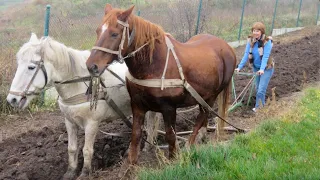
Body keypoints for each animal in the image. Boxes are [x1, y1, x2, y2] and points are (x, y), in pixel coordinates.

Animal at [6, 33, 158, 179]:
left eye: (31, 67)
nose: (12, 99)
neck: (78, 84)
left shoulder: (92, 123)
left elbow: (87, 150)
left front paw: (85, 172)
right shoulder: (69, 121)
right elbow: (72, 148)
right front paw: (71, 171)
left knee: (151, 122)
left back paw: (147, 147)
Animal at [86, 3, 236, 165]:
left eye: (114, 34)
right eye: (98, 31)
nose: (91, 66)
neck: (153, 64)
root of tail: (227, 47)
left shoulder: (169, 107)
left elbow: (170, 135)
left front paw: (174, 158)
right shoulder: (137, 105)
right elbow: (136, 136)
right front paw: (131, 165)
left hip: (212, 95)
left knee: (202, 116)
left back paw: (190, 144)